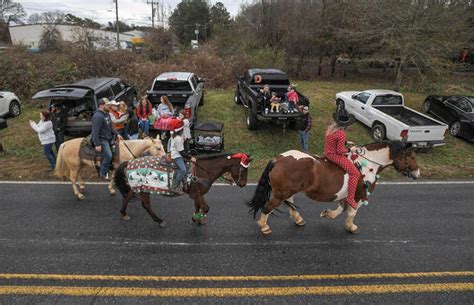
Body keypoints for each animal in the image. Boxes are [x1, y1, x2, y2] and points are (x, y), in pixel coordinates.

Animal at [113, 152, 254, 226]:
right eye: (243, 169)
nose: (243, 184)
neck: (203, 171)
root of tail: (129, 162)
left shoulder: (198, 193)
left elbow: (199, 206)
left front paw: (195, 218)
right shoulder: (196, 194)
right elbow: (205, 207)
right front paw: (197, 218)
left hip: (136, 187)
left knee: (127, 196)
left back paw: (123, 213)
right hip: (143, 188)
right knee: (146, 205)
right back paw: (159, 220)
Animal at [248, 141, 418, 234]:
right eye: (411, 156)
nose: (417, 173)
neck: (367, 164)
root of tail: (278, 159)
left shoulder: (346, 196)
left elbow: (341, 209)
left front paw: (327, 214)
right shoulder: (359, 195)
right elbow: (352, 212)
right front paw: (351, 227)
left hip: (288, 191)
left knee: (290, 205)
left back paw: (299, 219)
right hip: (281, 193)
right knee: (268, 207)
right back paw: (264, 227)